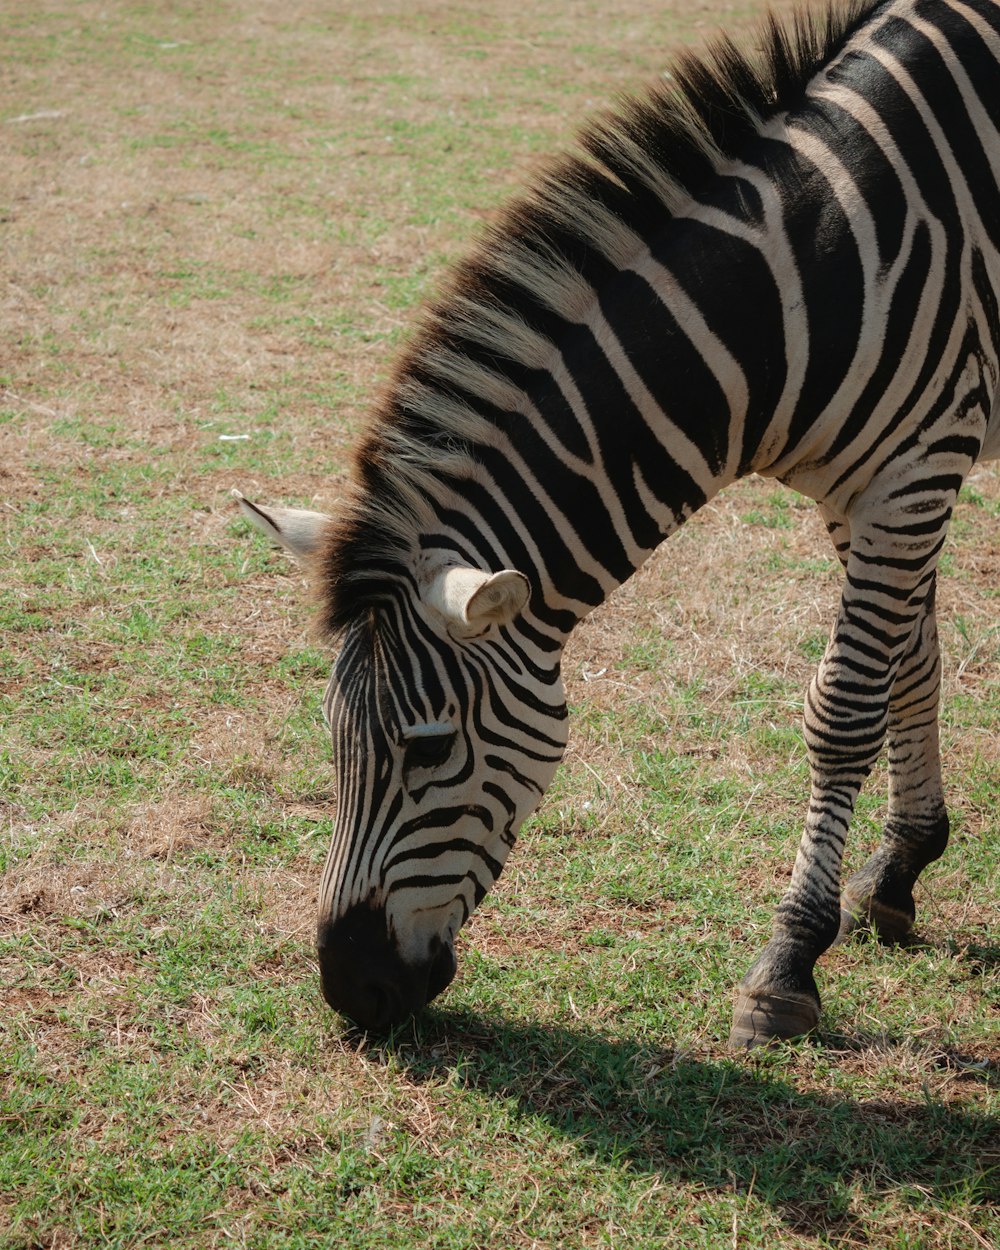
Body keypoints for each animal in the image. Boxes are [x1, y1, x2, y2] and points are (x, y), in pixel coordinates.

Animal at [236, 0, 1000, 1045]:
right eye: (330, 734)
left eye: (430, 748)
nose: (348, 992)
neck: (802, 284)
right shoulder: (866, 486)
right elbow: (909, 663)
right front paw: (902, 871)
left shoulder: (916, 469)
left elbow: (843, 706)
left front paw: (790, 963)